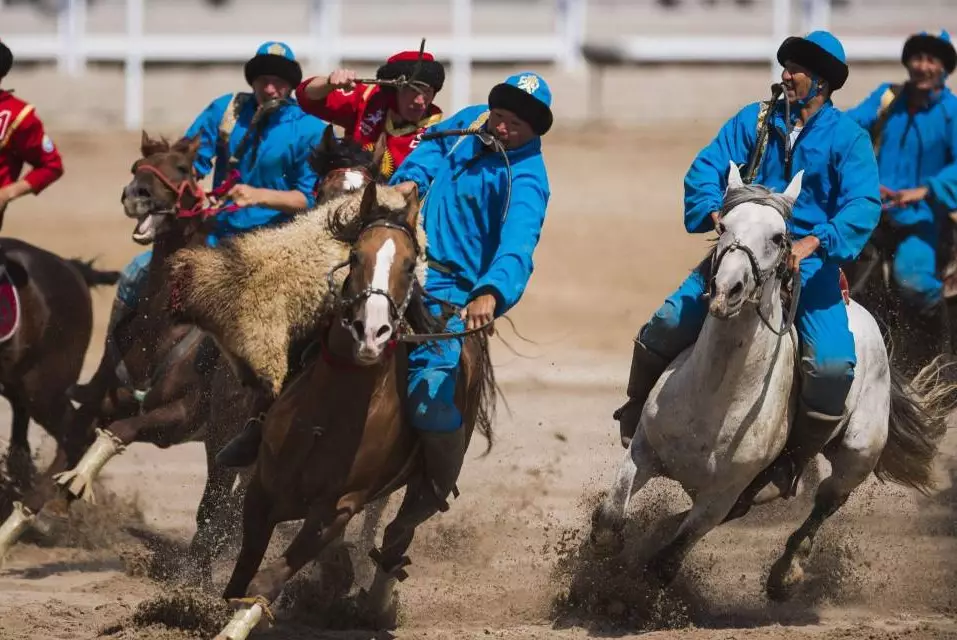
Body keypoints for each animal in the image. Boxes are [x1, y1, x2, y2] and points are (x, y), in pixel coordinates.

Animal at [0, 134, 256, 584]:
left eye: (184, 168)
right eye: (137, 166)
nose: (137, 195)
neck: (164, 331)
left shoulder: (179, 418)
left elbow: (122, 429)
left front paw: (77, 482)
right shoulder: (92, 411)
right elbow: (42, 484)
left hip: (225, 438)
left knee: (217, 510)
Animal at [209, 181, 492, 640]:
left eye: (410, 264)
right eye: (356, 255)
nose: (370, 332)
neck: (326, 416)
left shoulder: (337, 509)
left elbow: (266, 580)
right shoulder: (262, 489)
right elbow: (240, 577)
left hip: (426, 485)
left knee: (397, 537)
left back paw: (376, 607)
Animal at [588, 162, 952, 604]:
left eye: (779, 237)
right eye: (722, 225)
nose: (727, 290)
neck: (715, 395)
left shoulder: (720, 497)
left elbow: (666, 562)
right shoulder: (643, 450)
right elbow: (609, 523)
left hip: (858, 453)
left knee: (826, 501)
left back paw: (786, 573)